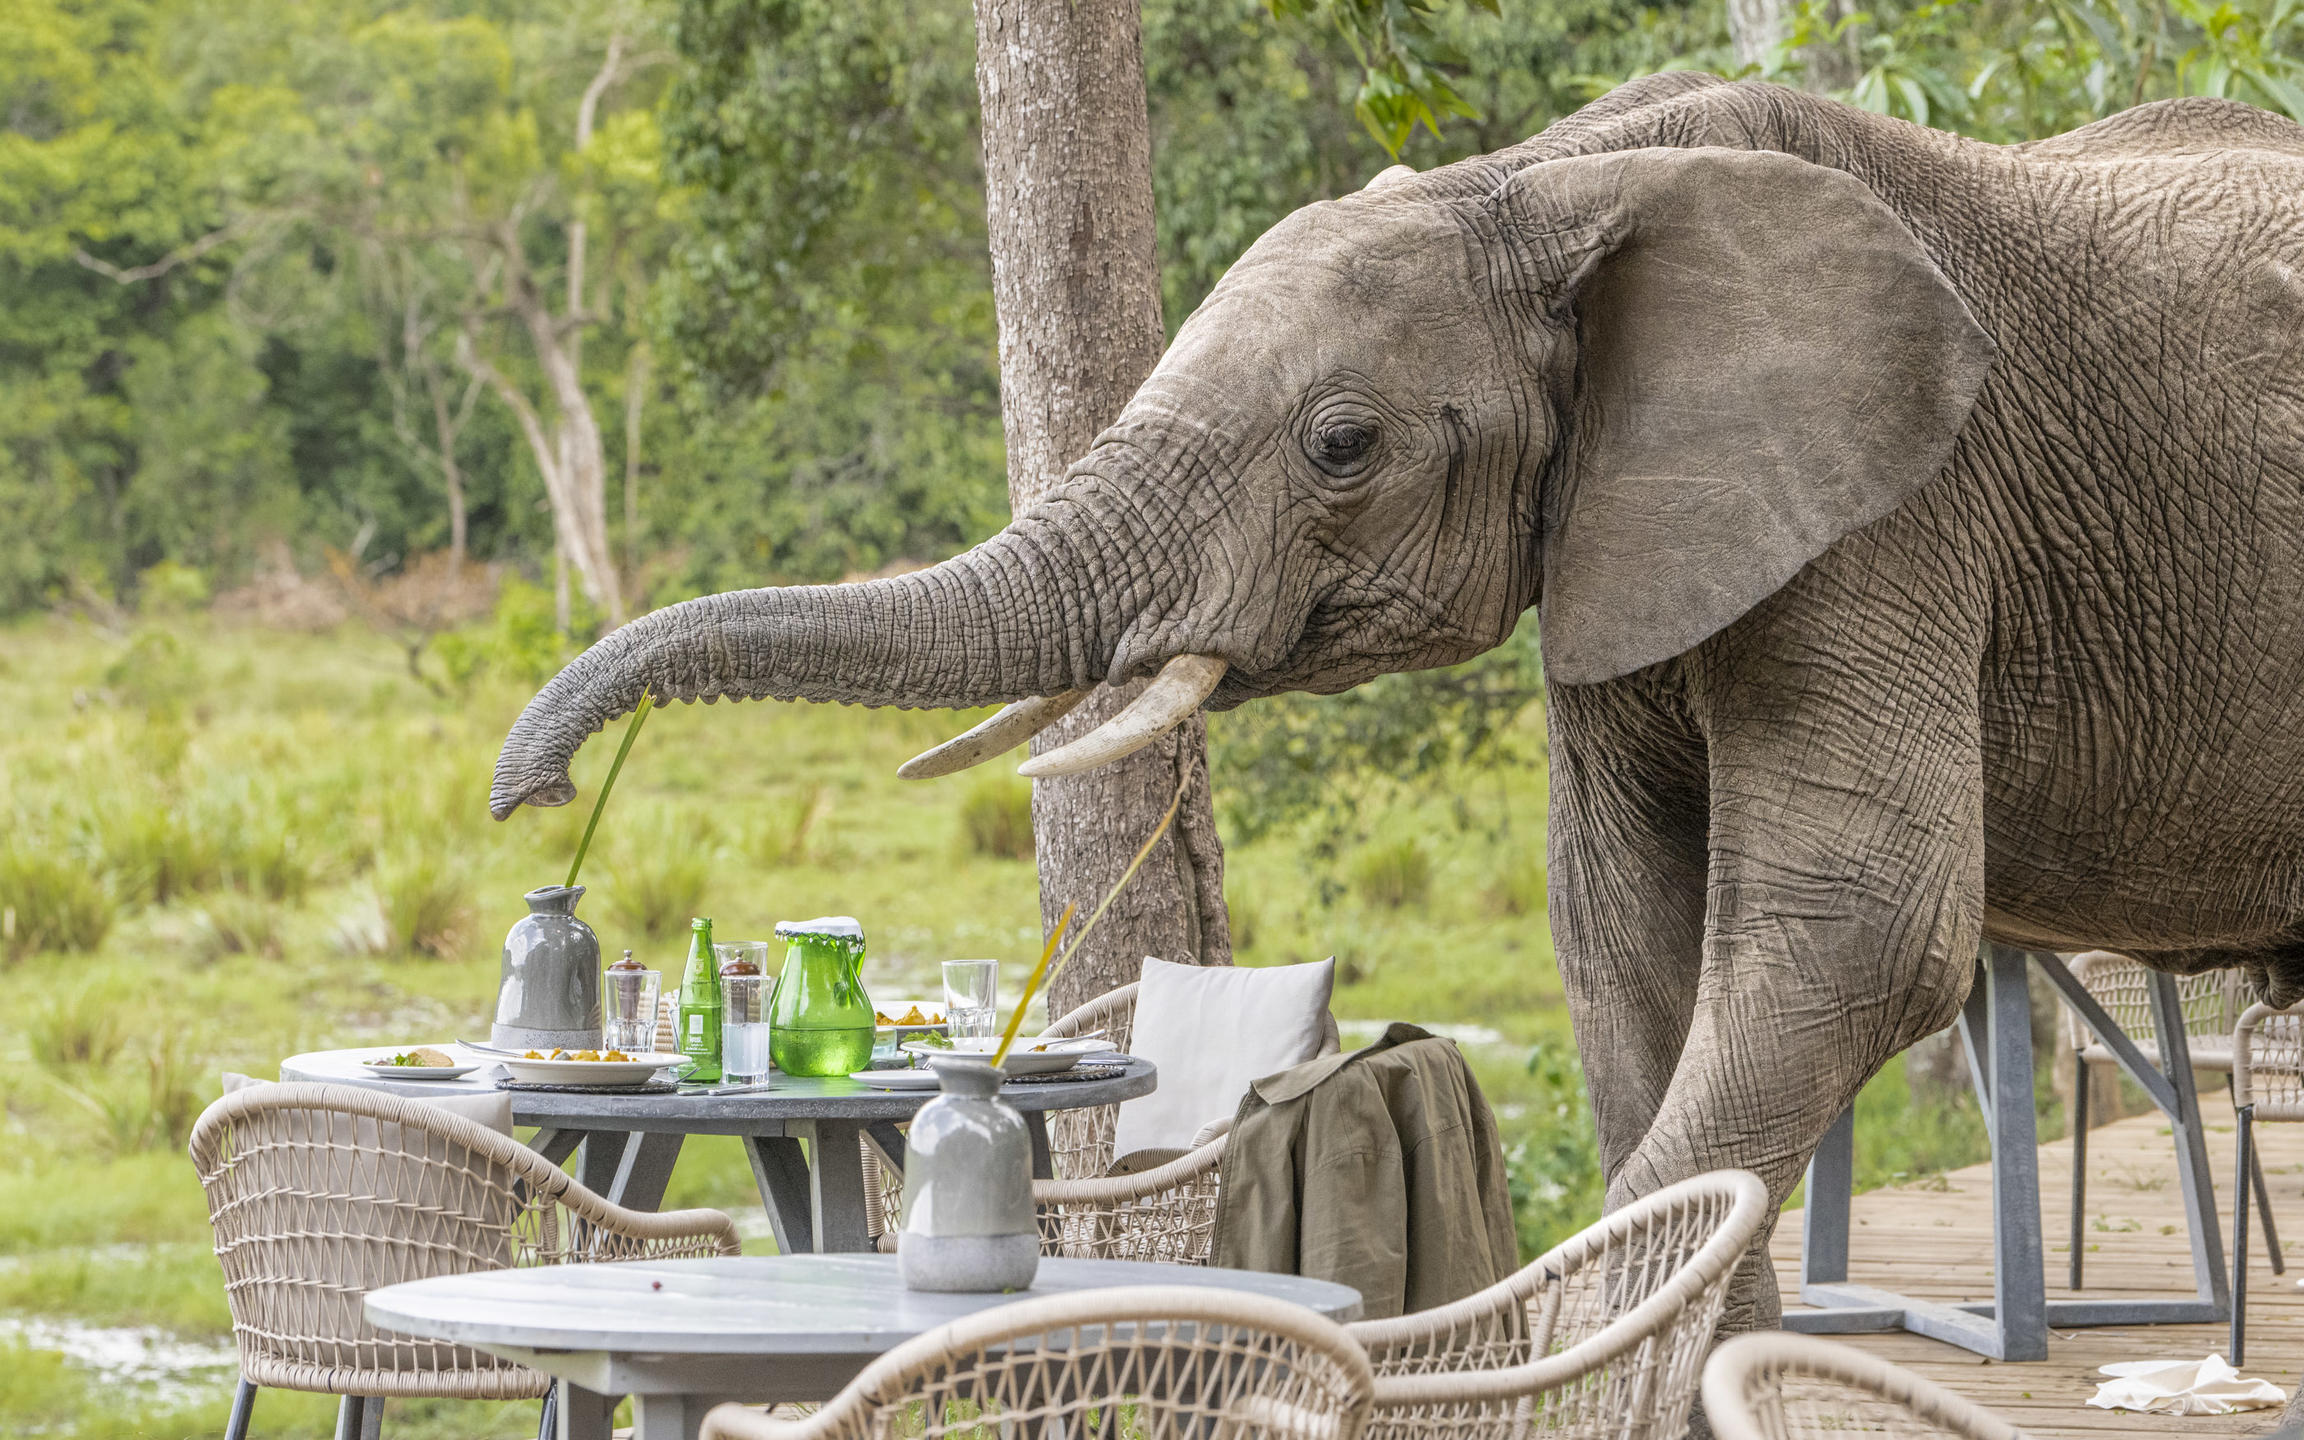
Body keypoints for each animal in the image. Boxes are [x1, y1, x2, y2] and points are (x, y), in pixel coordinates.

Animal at [495, 78, 2304, 1327]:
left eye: (1342, 445)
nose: (534, 796)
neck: (1546, 178)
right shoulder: (1640, 528)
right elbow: (1624, 942)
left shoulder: (1899, 511)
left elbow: (1858, 935)